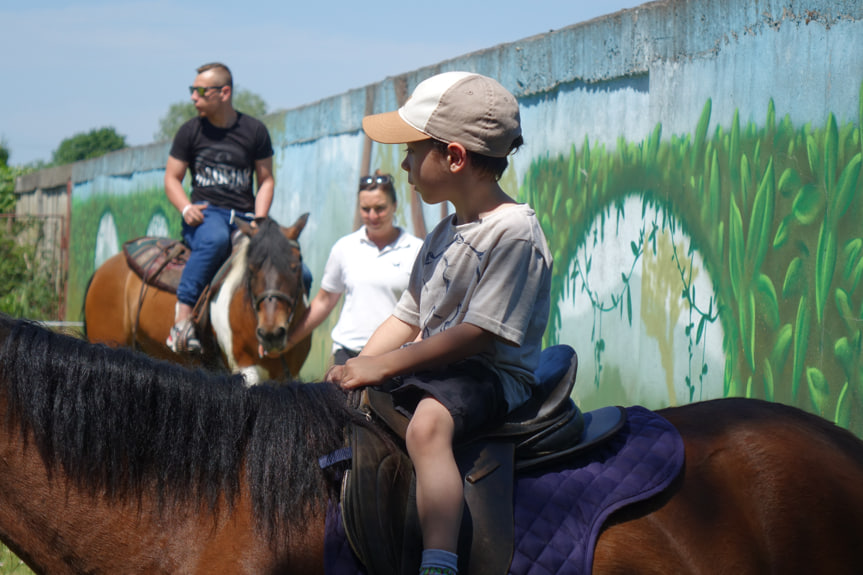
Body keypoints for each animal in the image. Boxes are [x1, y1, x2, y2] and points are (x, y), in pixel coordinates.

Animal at [83, 214, 310, 384]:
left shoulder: (289, 374)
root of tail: (104, 268)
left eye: (296, 266)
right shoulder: (244, 367)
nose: (271, 334)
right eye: (252, 268)